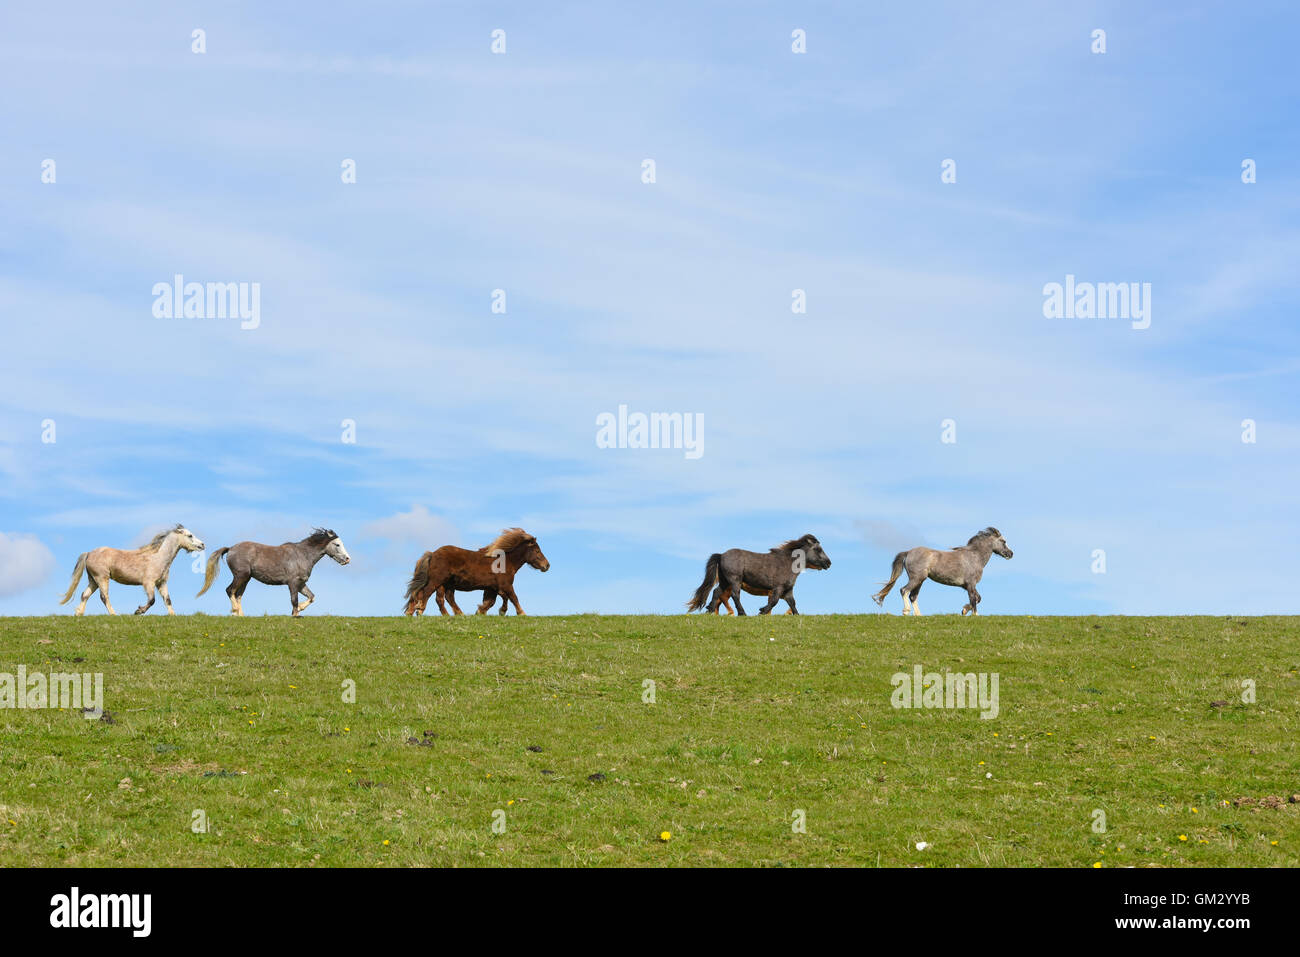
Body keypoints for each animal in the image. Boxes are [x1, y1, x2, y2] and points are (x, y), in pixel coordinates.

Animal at [59, 522, 202, 613]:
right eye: (190, 535)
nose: (202, 545)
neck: (158, 558)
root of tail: (89, 553)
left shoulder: (161, 583)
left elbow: (168, 600)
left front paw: (173, 615)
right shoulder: (148, 583)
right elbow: (152, 600)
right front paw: (138, 611)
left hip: (93, 580)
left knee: (85, 595)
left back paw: (79, 613)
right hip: (102, 578)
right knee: (104, 597)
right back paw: (114, 614)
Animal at [197, 527, 351, 616]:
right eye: (337, 544)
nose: (347, 559)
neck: (302, 555)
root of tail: (231, 548)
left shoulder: (301, 584)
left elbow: (311, 597)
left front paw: (300, 609)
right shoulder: (293, 583)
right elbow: (294, 601)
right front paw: (295, 614)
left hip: (246, 579)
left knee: (238, 595)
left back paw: (241, 615)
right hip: (241, 575)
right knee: (230, 591)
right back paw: (234, 611)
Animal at [397, 527, 546, 616]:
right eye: (537, 551)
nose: (547, 565)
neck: (505, 561)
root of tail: (433, 554)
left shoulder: (492, 588)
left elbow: (493, 601)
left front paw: (481, 611)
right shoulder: (506, 585)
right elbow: (513, 597)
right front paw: (521, 613)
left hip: (446, 584)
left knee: (442, 598)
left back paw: (455, 614)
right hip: (437, 581)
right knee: (426, 593)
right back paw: (419, 610)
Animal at [686, 535, 826, 616]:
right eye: (818, 549)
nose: (828, 563)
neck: (788, 562)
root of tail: (721, 555)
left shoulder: (788, 590)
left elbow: (792, 603)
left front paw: (796, 615)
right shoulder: (778, 588)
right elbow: (774, 601)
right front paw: (762, 611)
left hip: (725, 581)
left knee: (716, 592)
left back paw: (710, 610)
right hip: (734, 580)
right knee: (735, 595)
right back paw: (742, 613)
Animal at [873, 527, 1013, 616]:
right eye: (1003, 541)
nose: (1010, 554)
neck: (974, 557)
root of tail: (908, 553)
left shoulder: (966, 585)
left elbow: (978, 598)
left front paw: (963, 610)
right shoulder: (970, 584)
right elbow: (974, 599)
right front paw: (975, 615)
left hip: (920, 580)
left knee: (913, 596)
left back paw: (919, 615)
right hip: (917, 578)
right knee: (904, 590)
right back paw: (906, 611)